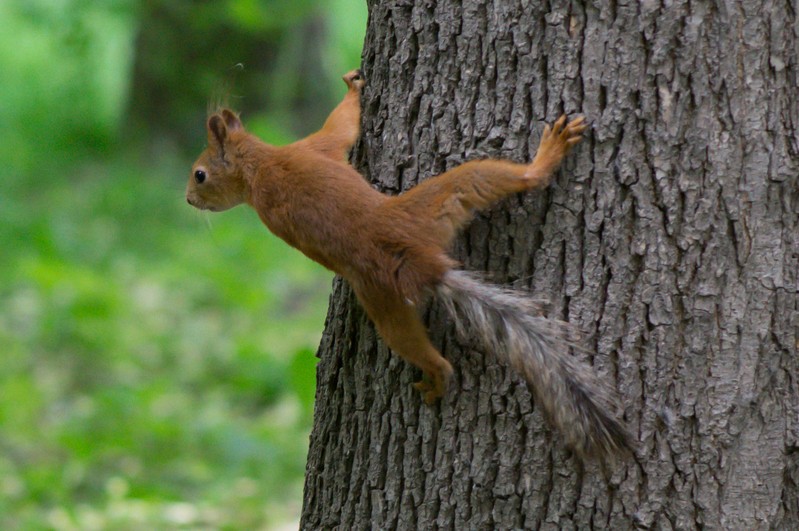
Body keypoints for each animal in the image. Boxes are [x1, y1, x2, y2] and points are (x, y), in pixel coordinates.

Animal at [186, 68, 632, 460]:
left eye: (200, 174)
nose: (189, 201)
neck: (259, 165)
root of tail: (427, 262)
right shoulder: (313, 149)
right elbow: (341, 128)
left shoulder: (310, 148)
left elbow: (341, 126)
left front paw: (352, 87)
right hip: (404, 266)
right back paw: (438, 378)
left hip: (422, 223)